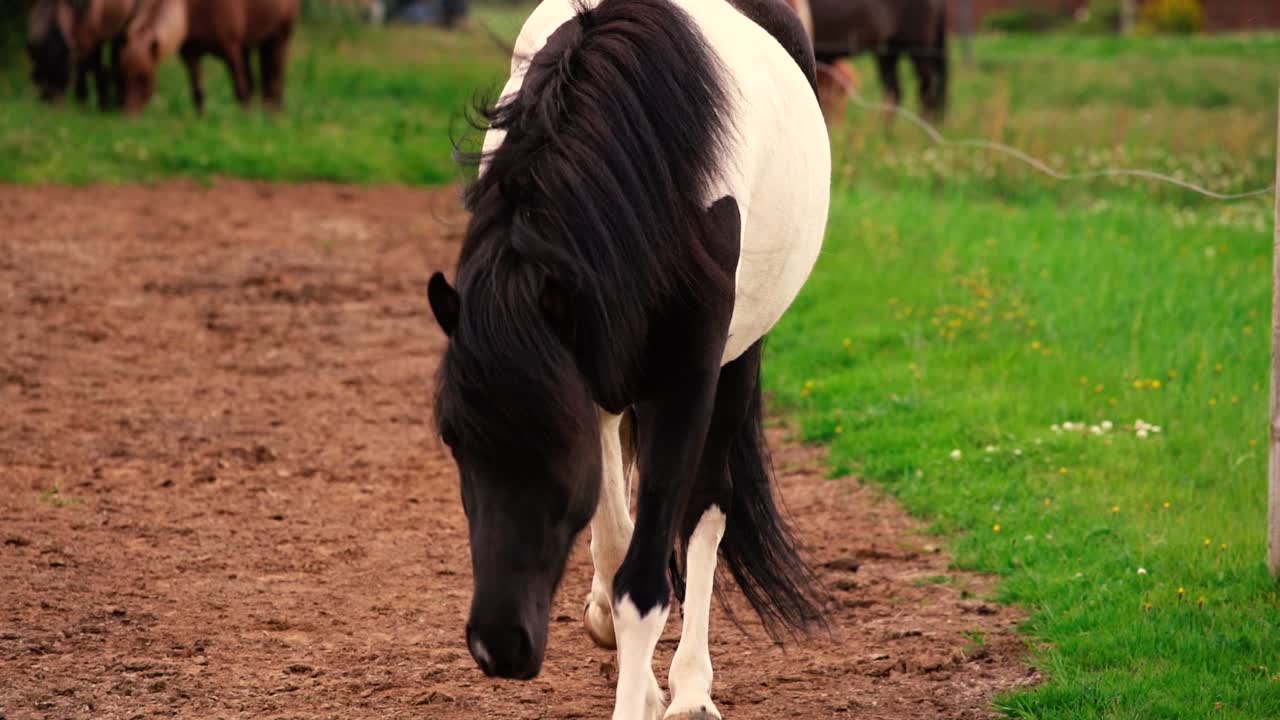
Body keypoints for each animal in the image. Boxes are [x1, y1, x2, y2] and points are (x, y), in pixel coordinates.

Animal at [426, 0, 830, 717]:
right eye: (452, 438)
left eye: (557, 444)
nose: (498, 647)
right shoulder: (590, 367)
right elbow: (618, 550)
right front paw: (631, 674)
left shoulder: (686, 381)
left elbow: (646, 578)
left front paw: (656, 691)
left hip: (738, 358)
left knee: (706, 510)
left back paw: (691, 688)